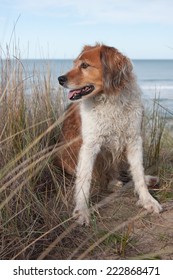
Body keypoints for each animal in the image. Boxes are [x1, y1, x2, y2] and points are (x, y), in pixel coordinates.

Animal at [58, 44, 162, 225]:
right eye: (75, 64)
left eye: (84, 65)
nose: (60, 79)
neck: (110, 99)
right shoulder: (90, 145)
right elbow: (84, 179)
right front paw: (82, 211)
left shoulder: (134, 140)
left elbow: (138, 173)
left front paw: (147, 200)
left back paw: (146, 179)